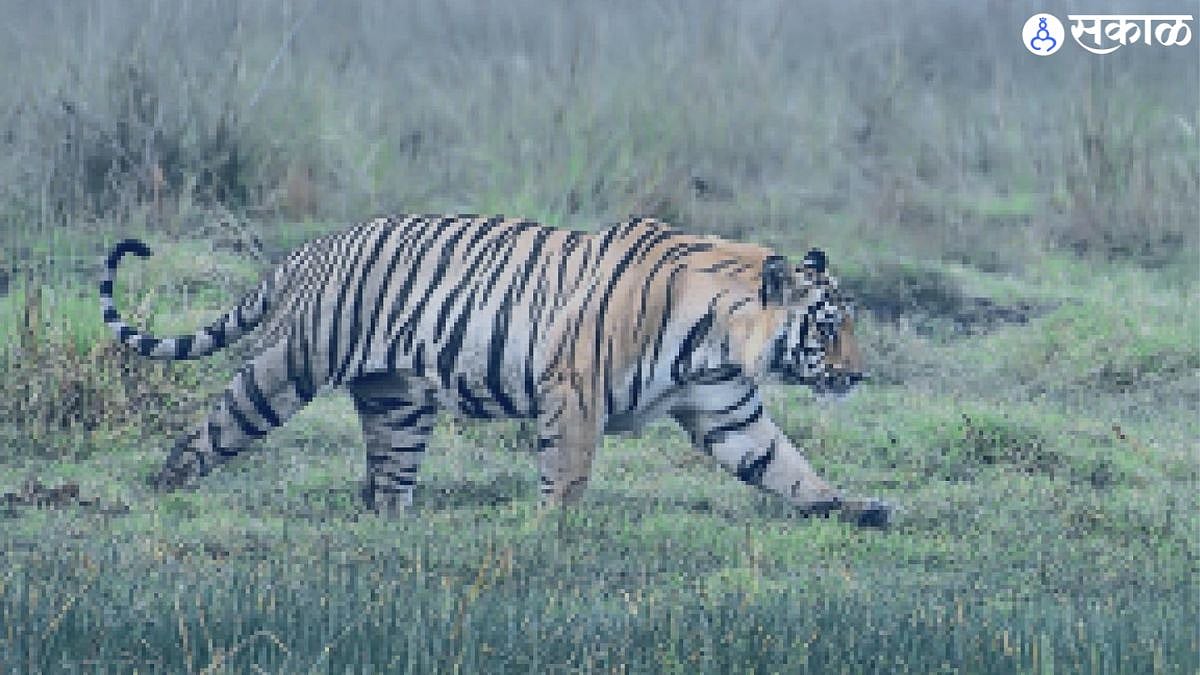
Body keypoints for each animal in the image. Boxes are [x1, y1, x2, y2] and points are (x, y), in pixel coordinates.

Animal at [100, 215, 892, 527]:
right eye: (830, 325)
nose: (858, 375)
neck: (721, 338)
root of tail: (311, 248)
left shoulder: (727, 409)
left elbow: (786, 466)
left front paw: (855, 508)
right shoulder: (574, 388)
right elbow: (568, 469)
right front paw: (550, 530)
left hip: (398, 401)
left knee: (388, 481)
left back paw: (396, 528)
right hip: (288, 366)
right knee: (213, 427)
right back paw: (161, 491)